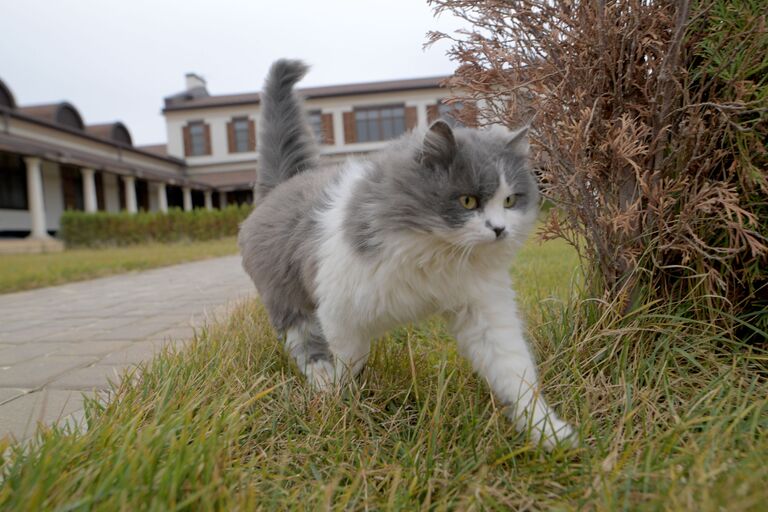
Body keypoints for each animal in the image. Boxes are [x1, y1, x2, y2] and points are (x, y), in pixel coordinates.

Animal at [240, 60, 576, 450]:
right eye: (468, 201)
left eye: (509, 201)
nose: (499, 229)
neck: (435, 249)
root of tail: (282, 186)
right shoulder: (340, 312)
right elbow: (348, 362)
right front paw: (341, 409)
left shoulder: (484, 310)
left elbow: (515, 374)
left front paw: (548, 432)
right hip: (290, 304)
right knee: (307, 348)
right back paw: (322, 384)